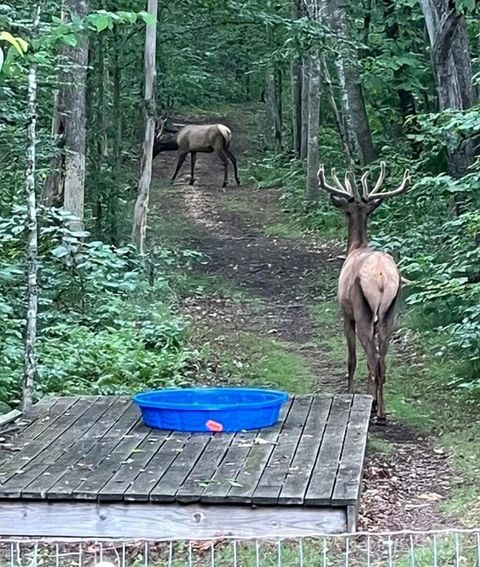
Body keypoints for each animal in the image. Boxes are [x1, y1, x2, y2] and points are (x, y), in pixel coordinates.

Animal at [318, 162, 412, 424]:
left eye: (346, 209)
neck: (355, 247)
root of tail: (381, 278)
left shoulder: (345, 313)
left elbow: (351, 359)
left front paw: (349, 393)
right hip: (390, 313)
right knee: (382, 361)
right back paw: (381, 411)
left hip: (362, 311)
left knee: (371, 359)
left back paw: (373, 409)